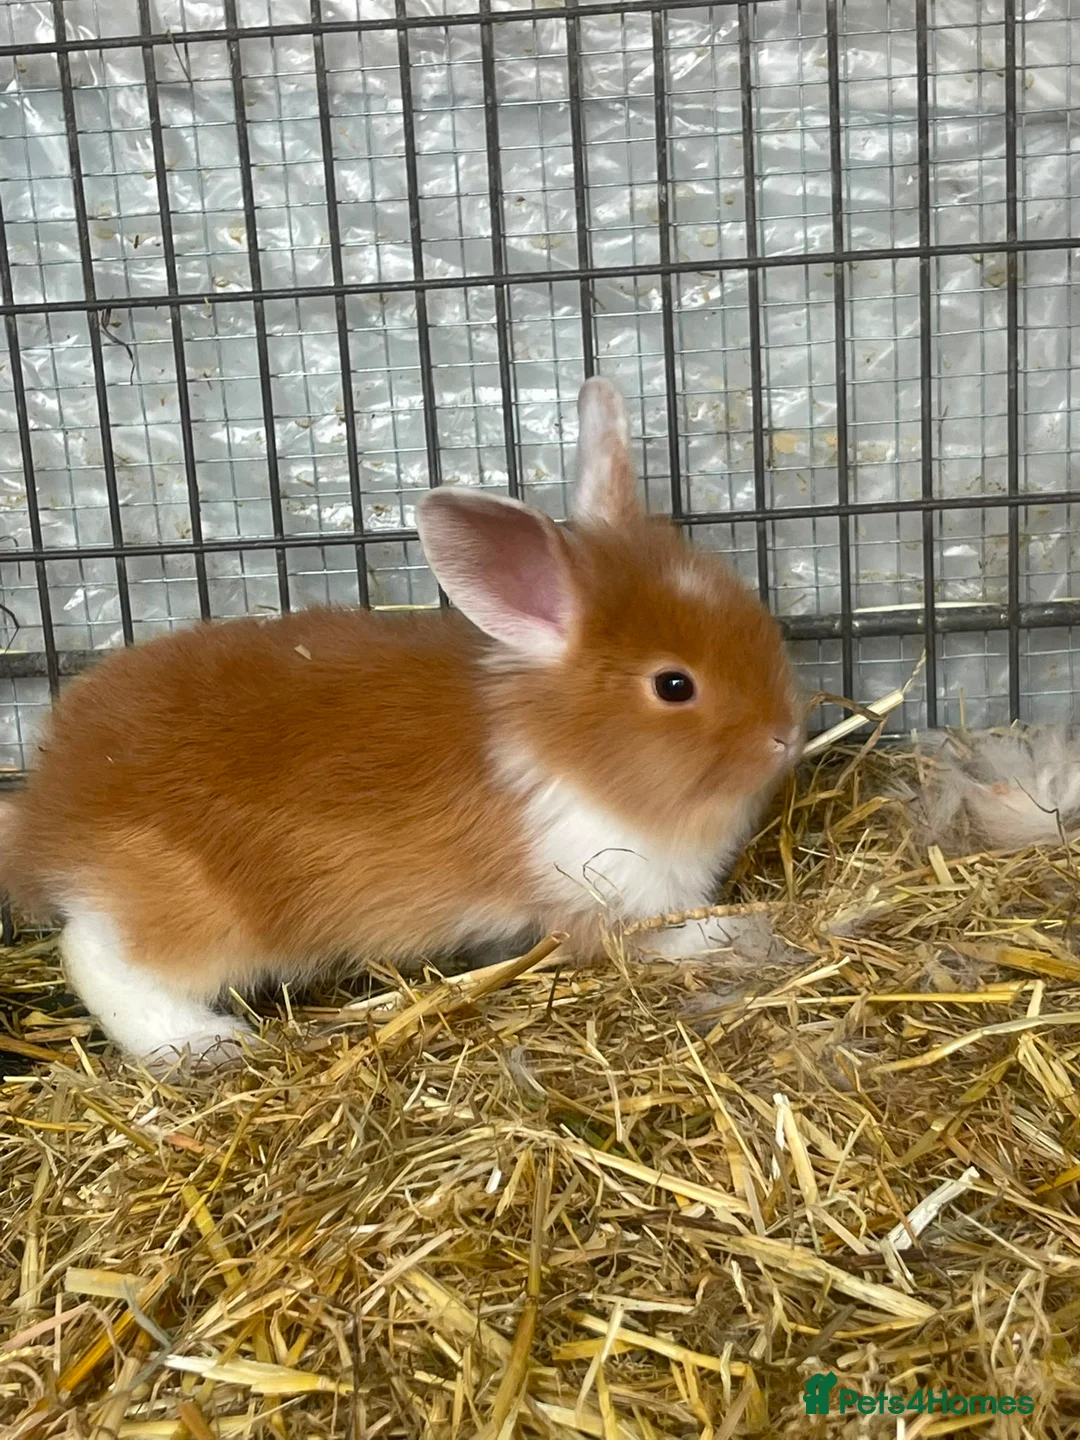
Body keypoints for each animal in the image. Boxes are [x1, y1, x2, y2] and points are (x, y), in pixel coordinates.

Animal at [0, 378, 803, 1069]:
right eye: (674, 685)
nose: (786, 736)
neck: (569, 748)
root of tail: (48, 814)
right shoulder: (610, 901)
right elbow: (678, 939)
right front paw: (755, 929)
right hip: (195, 914)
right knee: (98, 957)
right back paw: (206, 1042)